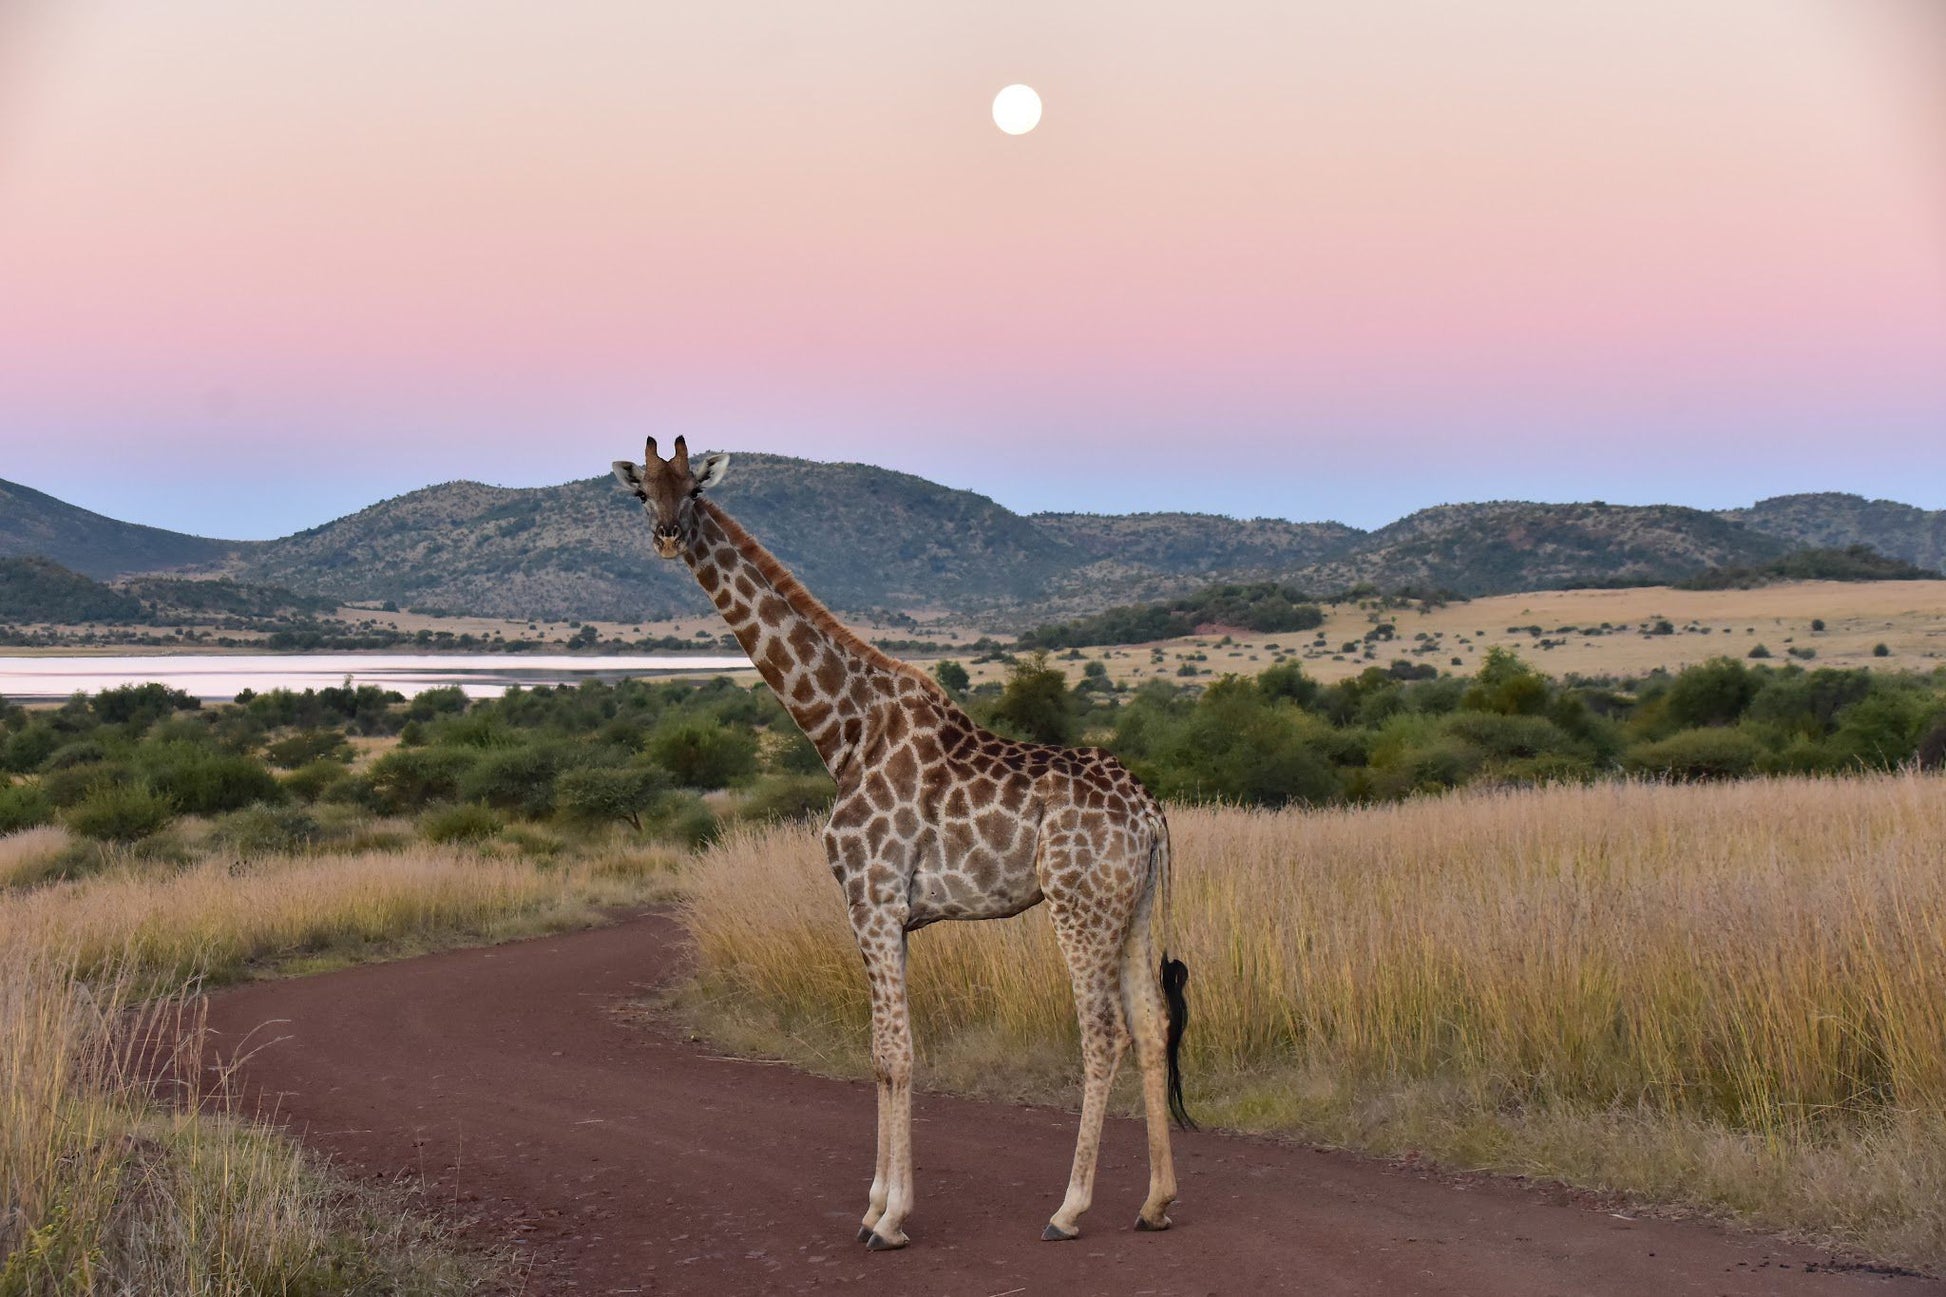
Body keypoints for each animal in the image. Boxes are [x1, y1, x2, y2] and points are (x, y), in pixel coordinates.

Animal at [611, 434, 1183, 1246]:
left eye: (693, 490)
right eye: (642, 492)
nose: (664, 535)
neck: (841, 732)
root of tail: (1150, 813)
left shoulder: (873, 901)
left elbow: (895, 1054)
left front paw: (889, 1219)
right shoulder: (888, 914)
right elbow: (882, 1053)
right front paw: (877, 1202)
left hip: (1079, 905)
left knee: (1104, 1033)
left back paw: (1069, 1210)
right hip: (1129, 908)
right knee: (1154, 1022)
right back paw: (1156, 1202)